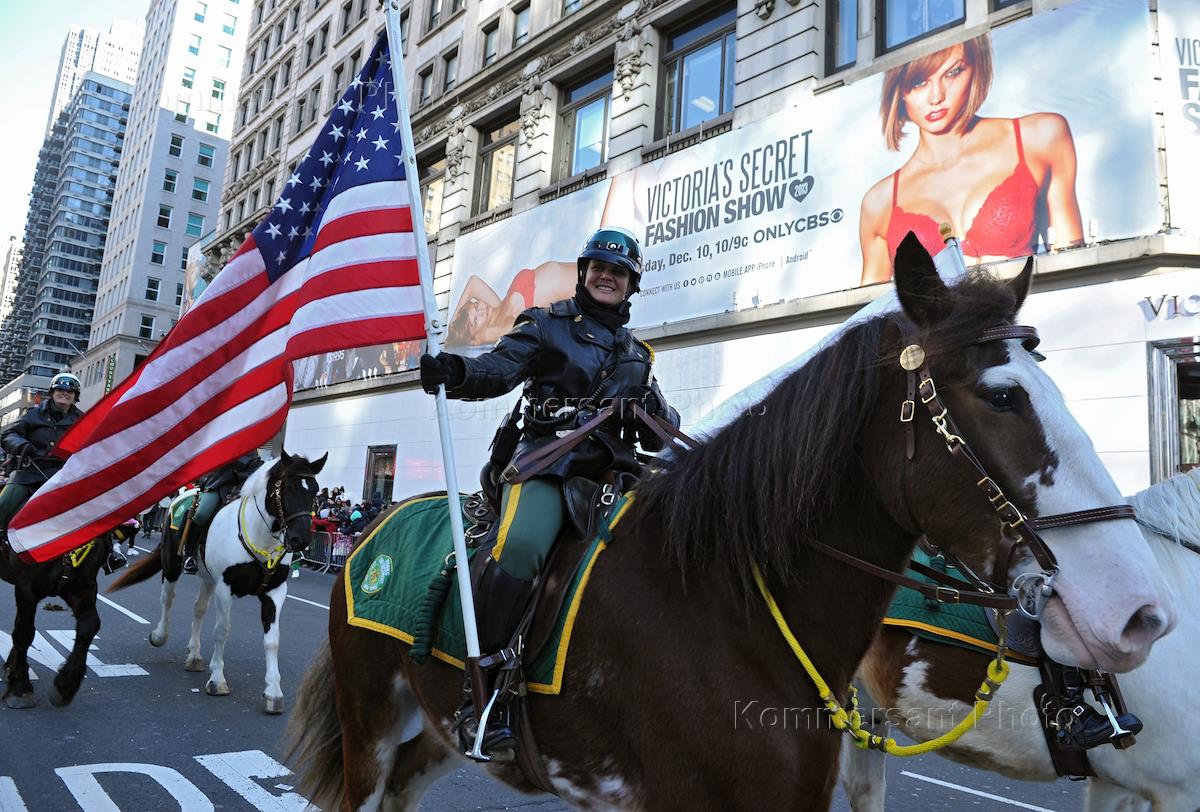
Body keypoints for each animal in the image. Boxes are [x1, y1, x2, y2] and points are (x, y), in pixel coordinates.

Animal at [1, 528, 127, 708]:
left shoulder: (82, 588)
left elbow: (90, 626)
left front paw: (66, 684)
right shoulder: (26, 587)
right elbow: (24, 633)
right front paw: (20, 686)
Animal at [109, 451, 324, 714]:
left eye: (314, 490)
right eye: (289, 488)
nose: (301, 539)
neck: (260, 537)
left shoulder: (274, 592)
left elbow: (272, 640)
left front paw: (274, 693)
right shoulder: (225, 587)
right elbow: (222, 630)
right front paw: (218, 680)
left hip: (208, 578)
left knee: (199, 609)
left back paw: (194, 655)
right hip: (172, 565)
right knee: (167, 599)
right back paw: (159, 635)